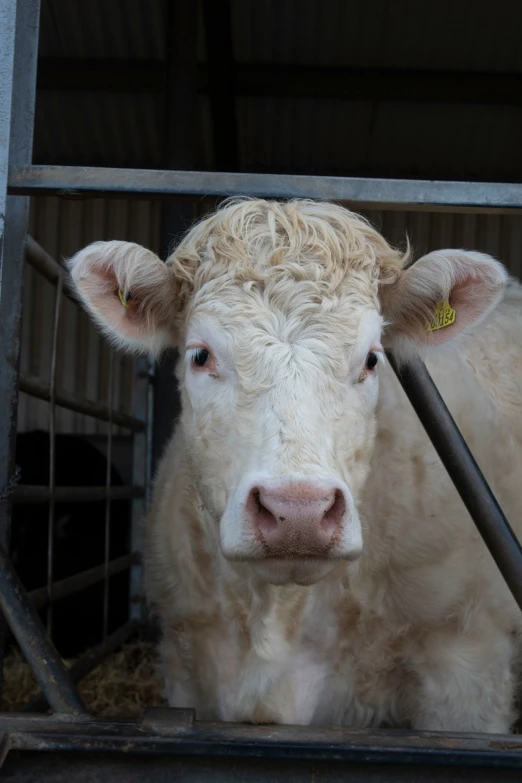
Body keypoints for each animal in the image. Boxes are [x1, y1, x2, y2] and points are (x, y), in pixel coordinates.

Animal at [67, 198, 520, 736]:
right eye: (200, 355)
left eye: (372, 359)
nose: (298, 512)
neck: (278, 616)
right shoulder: (190, 664)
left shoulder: (466, 661)